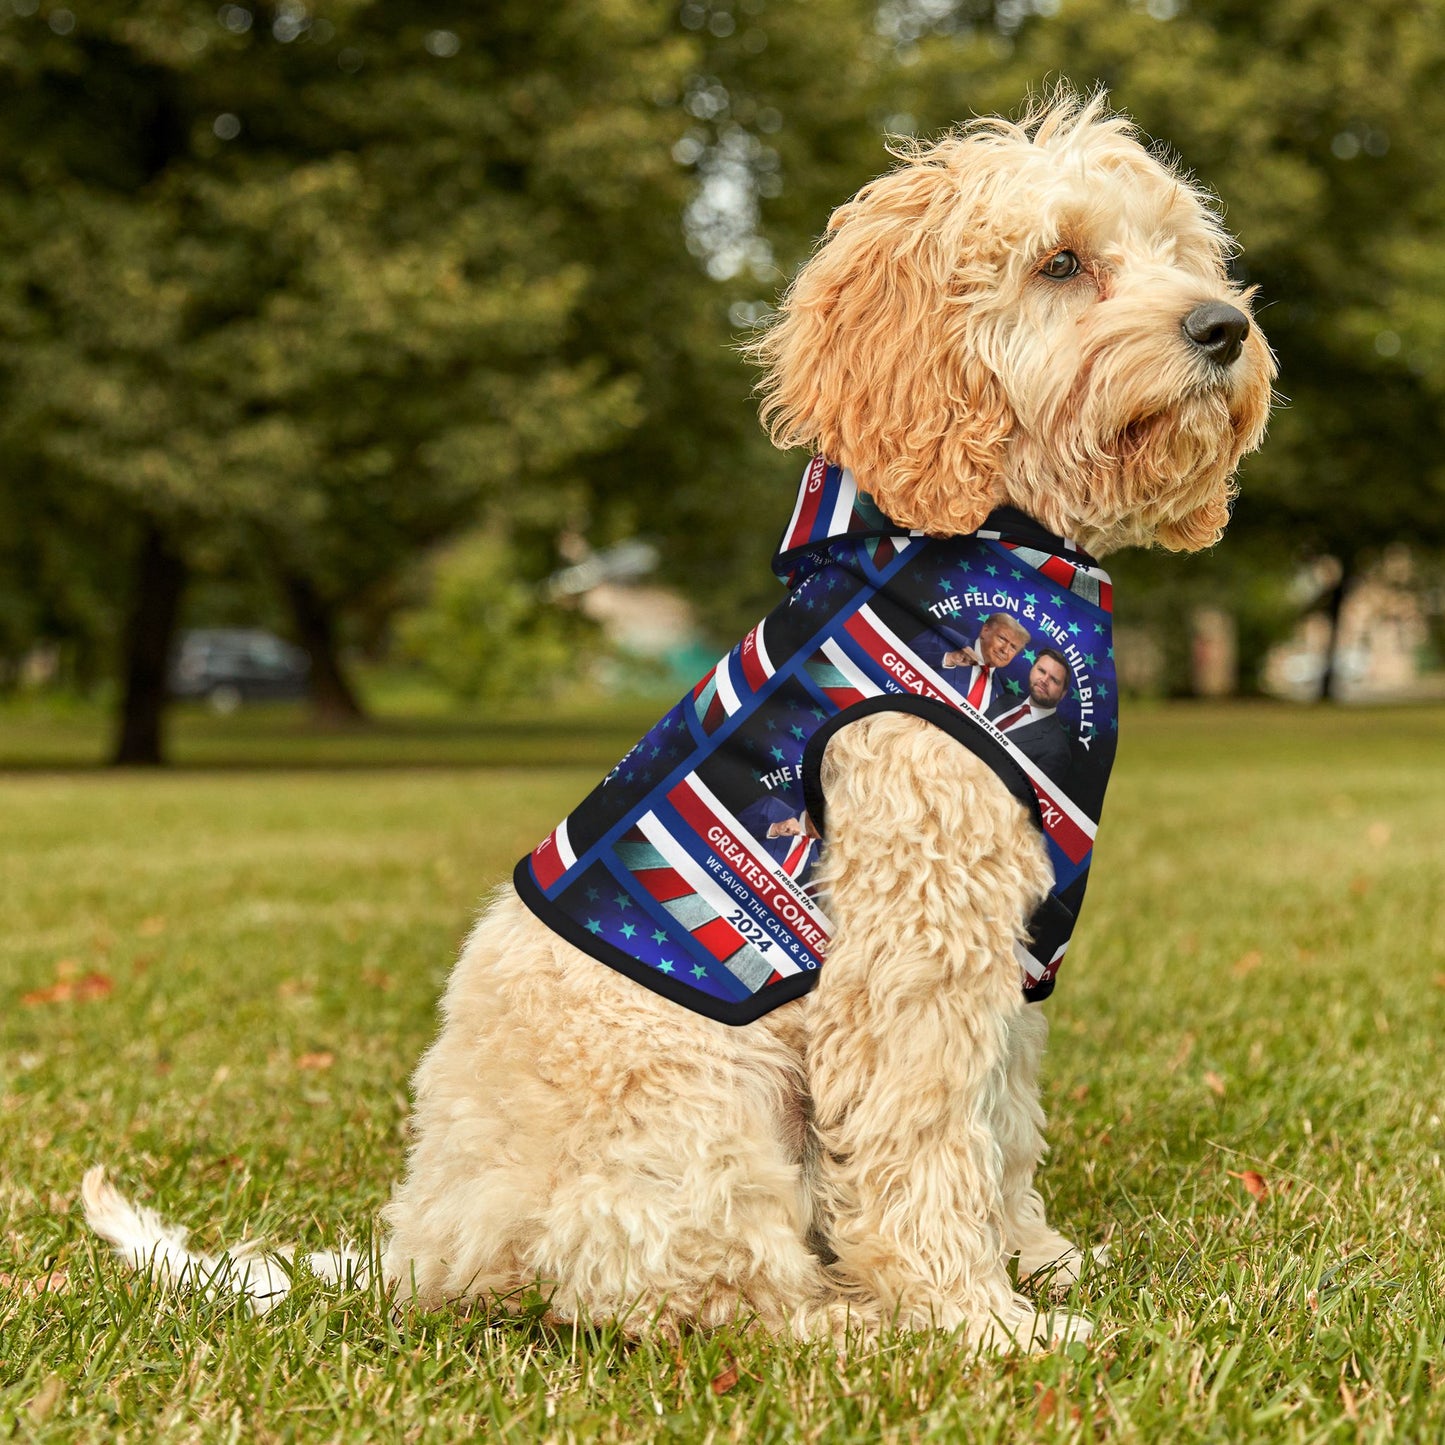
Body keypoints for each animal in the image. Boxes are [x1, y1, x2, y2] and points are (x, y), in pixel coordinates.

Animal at [84, 96, 1271, 1346]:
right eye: (1060, 262)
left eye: (1179, 252)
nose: (1222, 326)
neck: (988, 537)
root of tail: (423, 1248)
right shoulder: (912, 944)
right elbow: (925, 1140)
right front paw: (976, 1319)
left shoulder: (1009, 946)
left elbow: (999, 1122)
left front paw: (1034, 1259)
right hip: (705, 1107)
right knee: (704, 1289)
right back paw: (849, 1319)